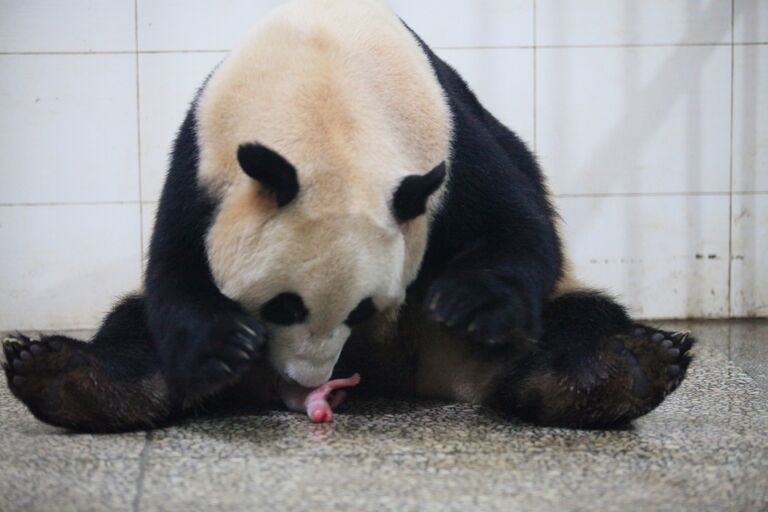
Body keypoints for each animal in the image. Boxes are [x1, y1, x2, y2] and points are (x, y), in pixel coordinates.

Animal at [1, 0, 696, 432]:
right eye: (281, 306)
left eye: (362, 310)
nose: (311, 377)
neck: (324, 91)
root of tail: (410, 373)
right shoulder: (203, 159)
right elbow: (175, 267)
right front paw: (220, 344)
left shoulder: (449, 136)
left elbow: (521, 226)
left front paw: (472, 301)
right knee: (132, 327)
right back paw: (68, 377)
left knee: (575, 321)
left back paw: (618, 372)